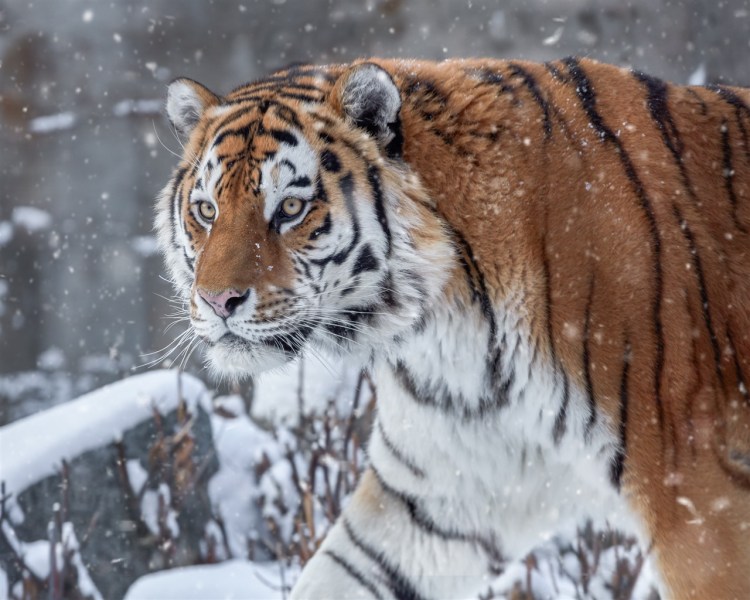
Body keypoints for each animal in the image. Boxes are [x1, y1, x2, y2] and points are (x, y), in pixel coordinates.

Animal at [156, 57, 750, 599]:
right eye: (206, 211)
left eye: (292, 207)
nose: (217, 300)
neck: (448, 330)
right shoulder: (441, 496)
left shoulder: (699, 504)